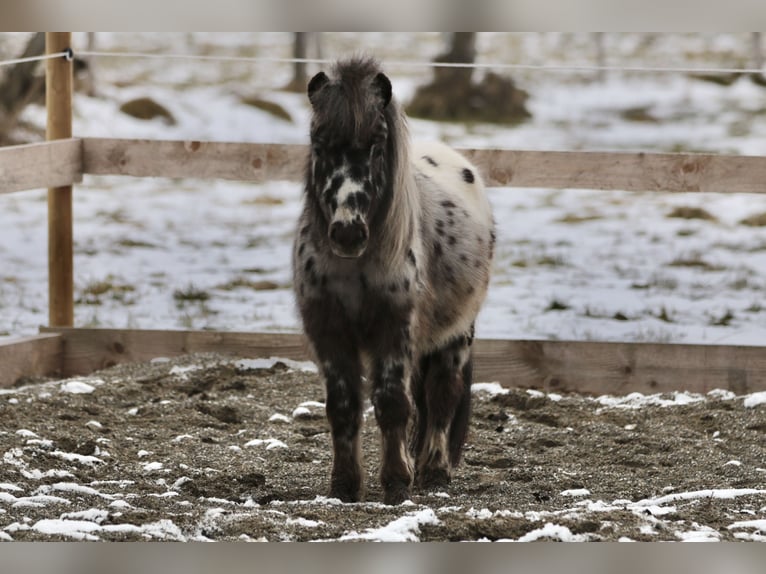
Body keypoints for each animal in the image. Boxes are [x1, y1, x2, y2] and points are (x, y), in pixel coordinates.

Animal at [292, 57, 496, 508]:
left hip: (456, 335)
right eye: (319, 141)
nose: (347, 233)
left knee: (441, 395)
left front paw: (397, 482)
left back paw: (434, 472)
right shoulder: (327, 329)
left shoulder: (395, 326)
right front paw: (344, 485)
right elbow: (343, 405)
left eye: (376, 144)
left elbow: (392, 402)